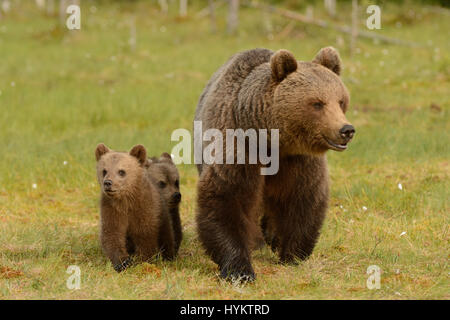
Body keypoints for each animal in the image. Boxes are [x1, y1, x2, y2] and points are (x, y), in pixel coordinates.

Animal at [193, 46, 356, 282]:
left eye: (341, 101)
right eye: (317, 103)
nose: (346, 130)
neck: (273, 143)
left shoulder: (300, 161)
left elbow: (303, 199)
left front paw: (292, 254)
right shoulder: (239, 147)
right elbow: (227, 197)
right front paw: (239, 269)